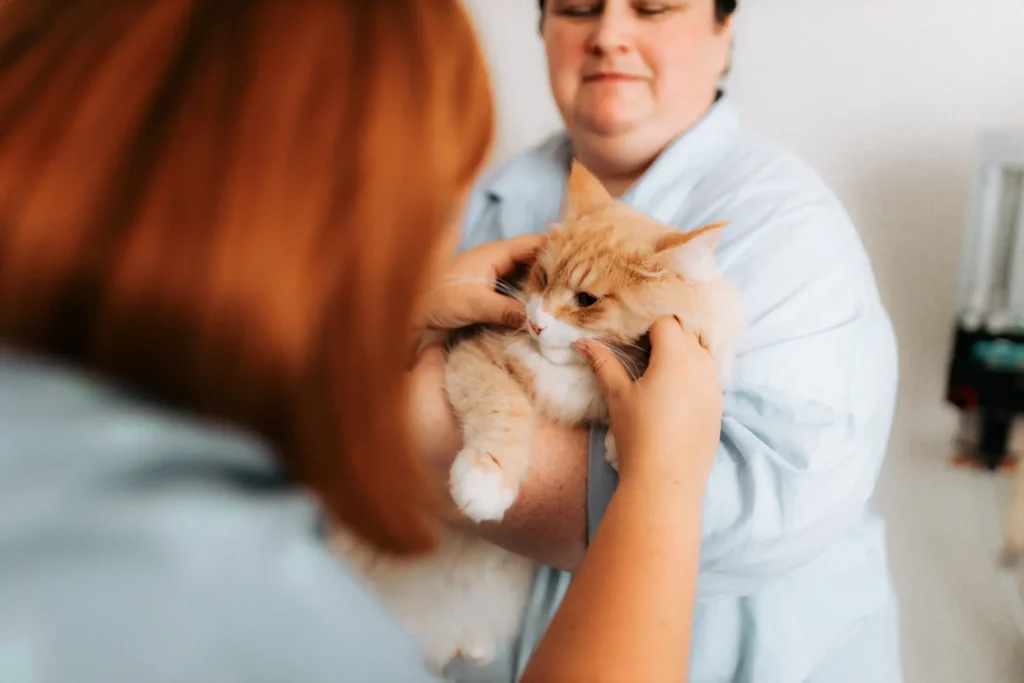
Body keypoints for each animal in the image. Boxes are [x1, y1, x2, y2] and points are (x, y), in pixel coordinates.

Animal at [335, 161, 745, 679]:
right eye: (542, 278)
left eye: (586, 299)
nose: (536, 323)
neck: (568, 373)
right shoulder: (477, 354)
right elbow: (506, 412)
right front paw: (486, 481)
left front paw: (617, 440)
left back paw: (472, 646)